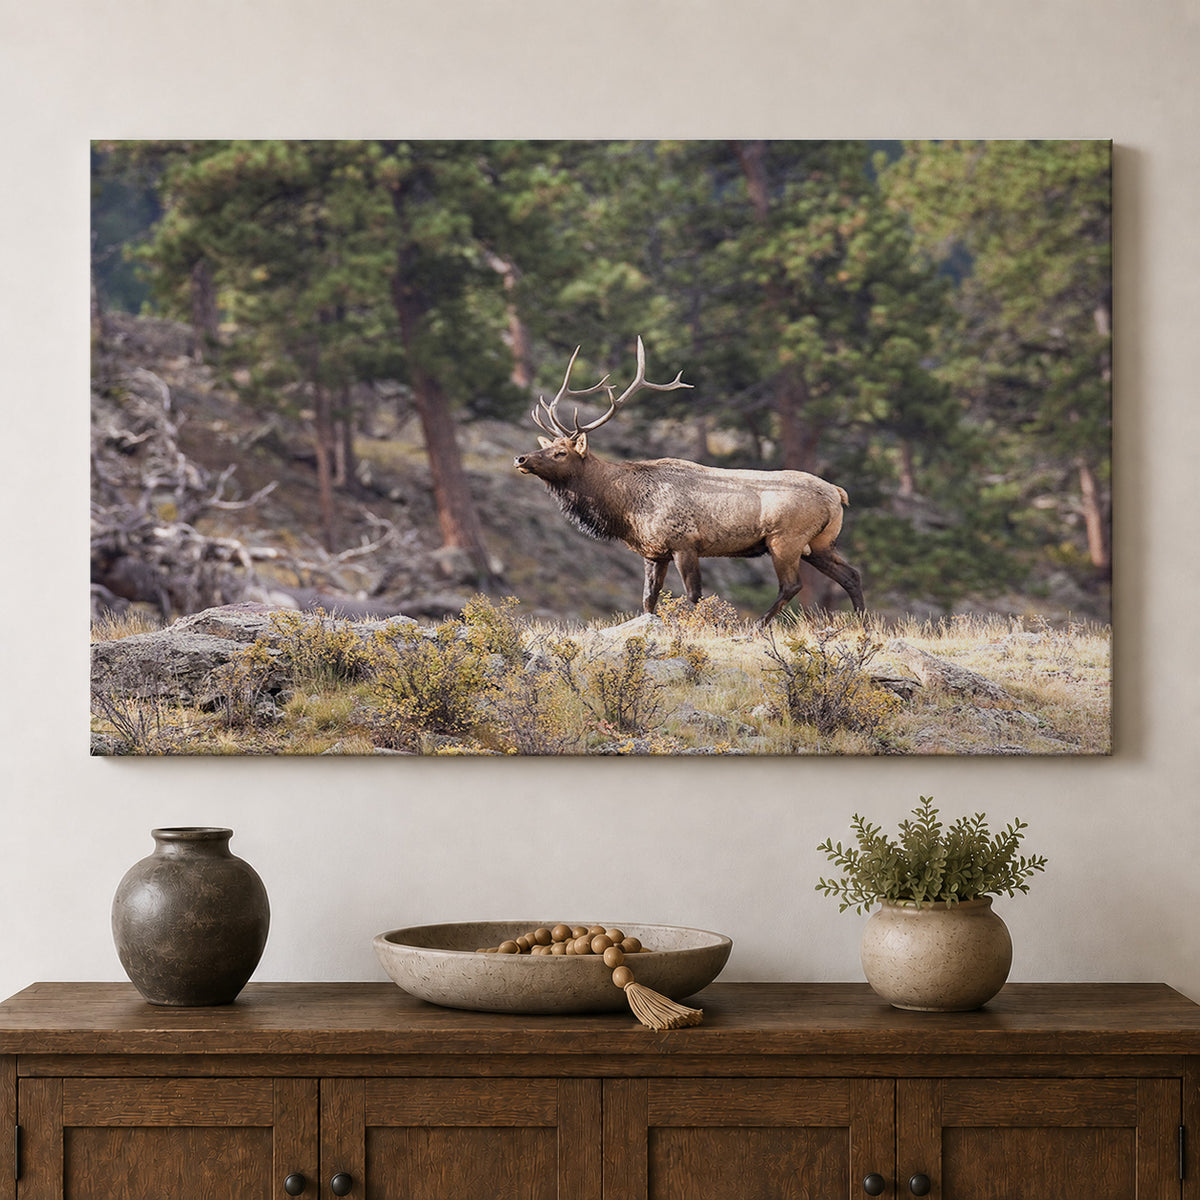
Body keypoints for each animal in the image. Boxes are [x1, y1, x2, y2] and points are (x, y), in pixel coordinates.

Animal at [514, 338, 865, 624]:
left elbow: (694, 596)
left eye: (561, 452)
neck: (626, 508)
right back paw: (861, 623)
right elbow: (648, 600)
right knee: (851, 575)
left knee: (792, 584)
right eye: (547, 446)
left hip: (786, 539)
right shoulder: (654, 551)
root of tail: (838, 493)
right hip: (819, 543)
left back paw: (758, 625)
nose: (521, 459)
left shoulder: (684, 542)